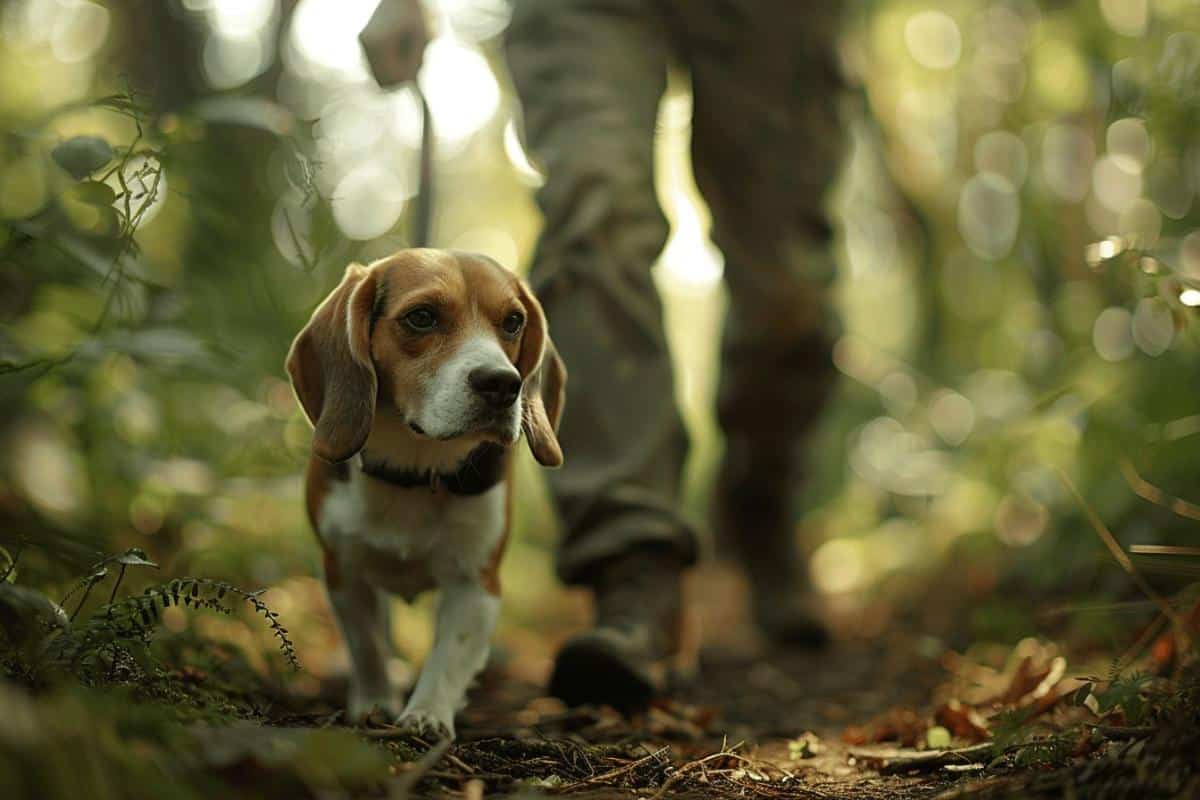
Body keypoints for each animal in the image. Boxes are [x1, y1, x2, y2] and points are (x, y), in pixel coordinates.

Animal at [292, 248, 568, 738]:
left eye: (513, 322)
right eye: (421, 317)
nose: (503, 383)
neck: (417, 469)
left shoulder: (476, 581)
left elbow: (450, 655)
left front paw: (427, 715)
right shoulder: (343, 570)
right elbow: (367, 646)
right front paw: (375, 704)